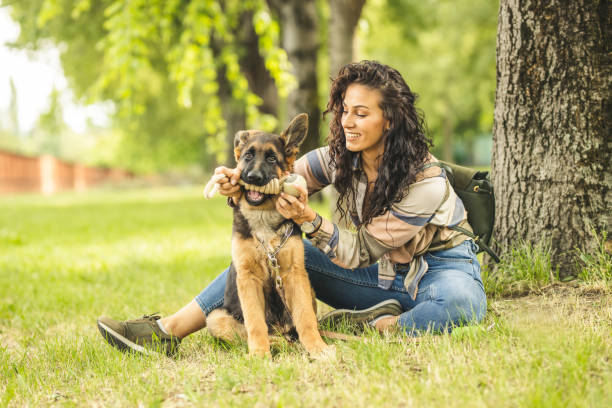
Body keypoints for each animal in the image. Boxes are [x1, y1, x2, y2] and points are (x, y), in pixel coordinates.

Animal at [208, 114, 334, 356]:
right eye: (248, 156)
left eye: (272, 159)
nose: (253, 177)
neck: (263, 215)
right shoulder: (248, 277)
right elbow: (255, 322)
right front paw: (259, 353)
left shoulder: (294, 273)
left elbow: (305, 318)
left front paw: (317, 348)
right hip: (215, 317)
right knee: (248, 333)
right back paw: (275, 343)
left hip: (308, 290)